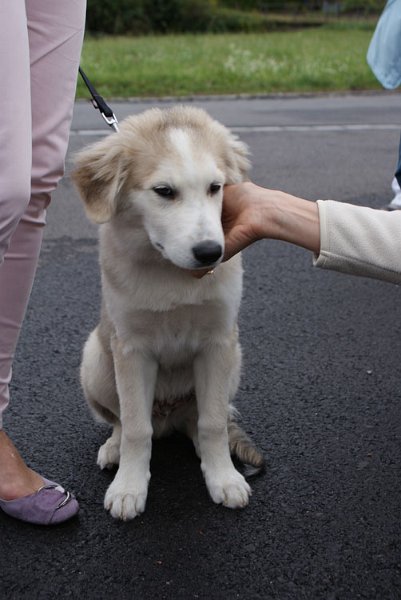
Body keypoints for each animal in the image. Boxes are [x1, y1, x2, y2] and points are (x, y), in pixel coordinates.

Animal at [73, 108, 264, 520]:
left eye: (215, 187)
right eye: (164, 191)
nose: (210, 253)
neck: (171, 275)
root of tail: (168, 415)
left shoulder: (218, 342)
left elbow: (212, 422)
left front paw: (223, 477)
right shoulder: (131, 349)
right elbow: (135, 427)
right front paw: (129, 487)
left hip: (235, 361)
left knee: (200, 418)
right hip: (95, 360)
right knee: (122, 420)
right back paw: (114, 449)